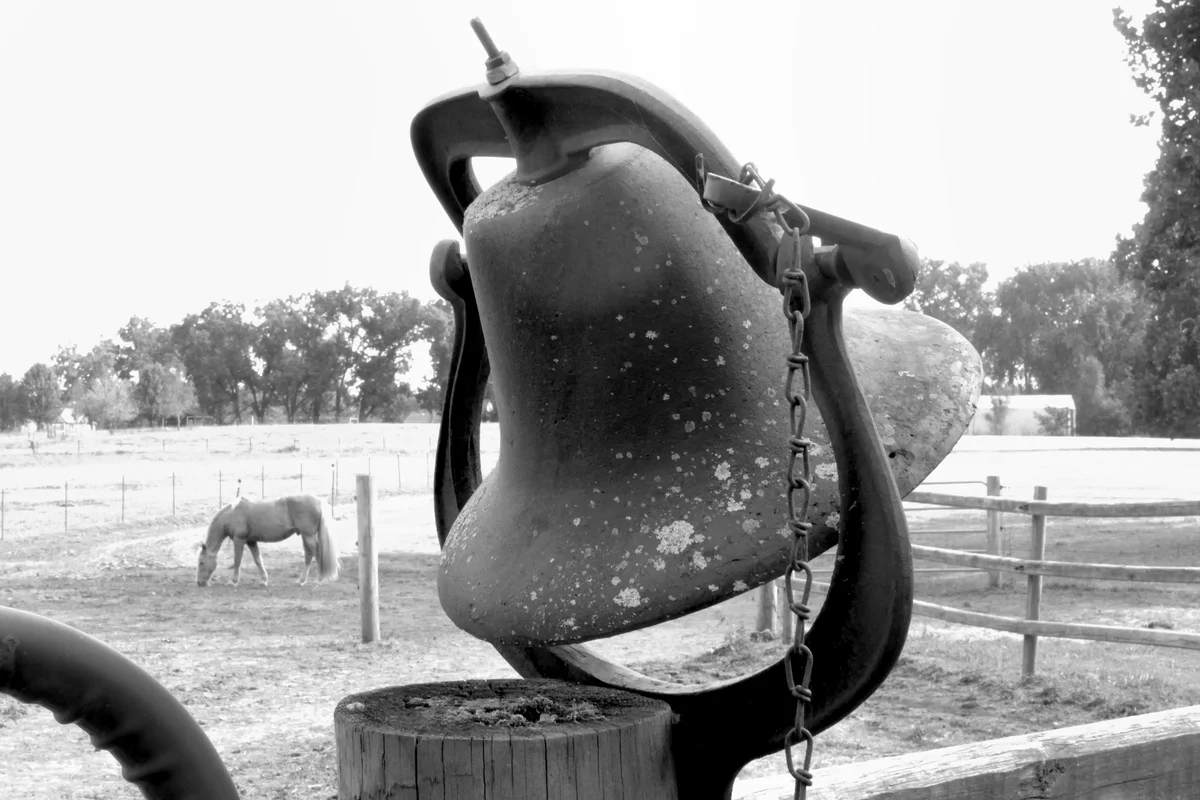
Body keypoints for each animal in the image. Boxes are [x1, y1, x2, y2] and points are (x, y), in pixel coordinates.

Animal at [197, 494, 340, 588]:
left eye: (201, 562)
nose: (199, 583)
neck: (232, 513)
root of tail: (317, 501)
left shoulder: (239, 540)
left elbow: (237, 561)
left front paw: (233, 581)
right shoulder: (251, 541)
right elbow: (258, 560)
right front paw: (263, 580)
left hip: (308, 536)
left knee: (317, 554)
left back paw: (319, 579)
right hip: (305, 536)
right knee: (309, 555)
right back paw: (301, 580)